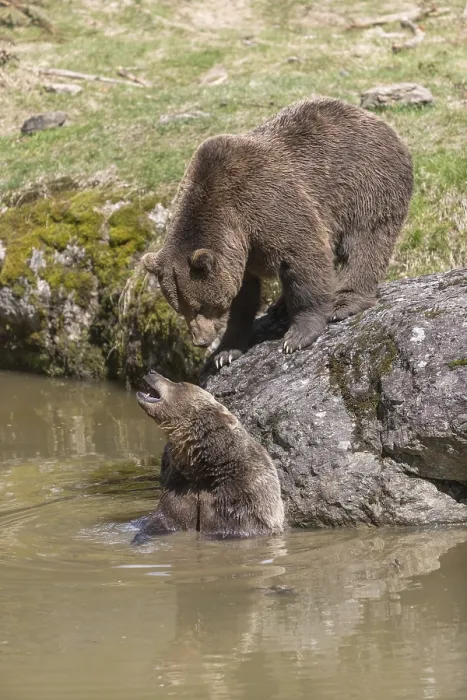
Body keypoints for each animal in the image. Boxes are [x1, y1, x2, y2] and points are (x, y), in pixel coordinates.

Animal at [142, 97, 413, 368]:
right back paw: (280, 306)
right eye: (180, 308)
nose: (200, 340)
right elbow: (244, 297)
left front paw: (297, 336)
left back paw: (344, 302)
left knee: (365, 243)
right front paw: (225, 352)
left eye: (199, 306)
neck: (235, 223)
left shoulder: (269, 206)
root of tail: (378, 121)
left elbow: (304, 258)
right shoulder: (241, 254)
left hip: (367, 184)